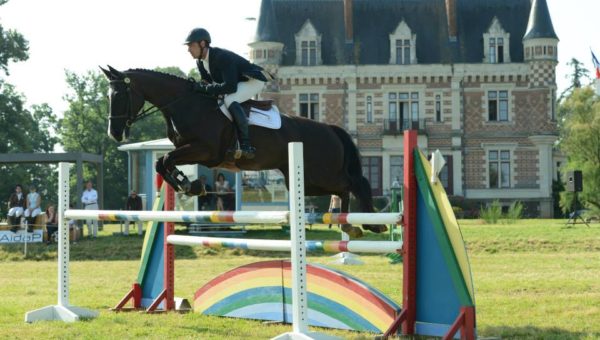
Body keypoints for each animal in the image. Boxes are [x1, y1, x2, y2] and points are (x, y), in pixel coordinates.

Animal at [101, 65, 386, 238]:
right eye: (108, 96)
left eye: (120, 96)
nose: (114, 133)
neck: (186, 104)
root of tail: (330, 128)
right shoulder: (188, 150)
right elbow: (162, 162)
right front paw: (189, 185)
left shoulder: (206, 151)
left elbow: (164, 159)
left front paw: (190, 185)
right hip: (309, 180)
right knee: (345, 187)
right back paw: (349, 224)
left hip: (319, 174)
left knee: (354, 183)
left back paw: (371, 222)